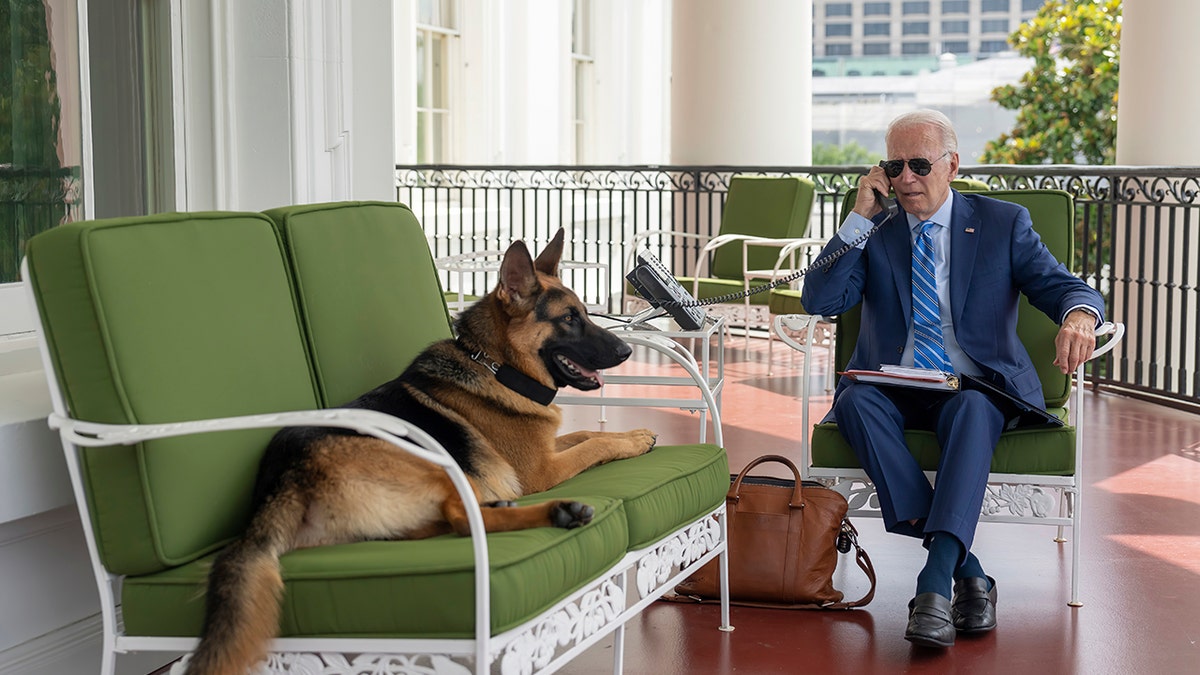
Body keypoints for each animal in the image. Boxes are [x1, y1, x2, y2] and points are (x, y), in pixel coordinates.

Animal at [186, 227, 657, 672]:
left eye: (585, 314)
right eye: (569, 319)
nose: (626, 350)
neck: (497, 367)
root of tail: (280, 481)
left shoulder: (547, 448)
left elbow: (585, 435)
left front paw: (634, 434)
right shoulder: (540, 470)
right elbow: (593, 444)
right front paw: (633, 440)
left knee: (443, 522)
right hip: (434, 466)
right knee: (460, 520)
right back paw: (557, 511)